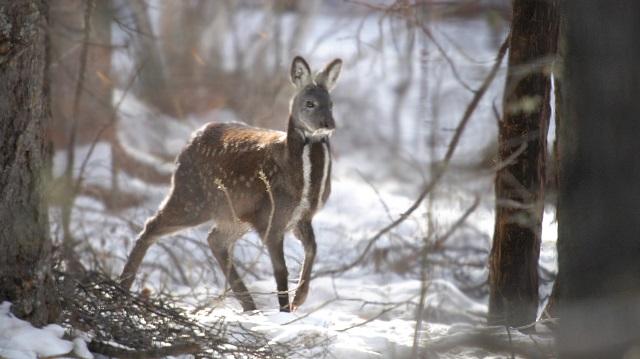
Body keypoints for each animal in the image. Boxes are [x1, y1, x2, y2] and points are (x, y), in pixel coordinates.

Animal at [118, 56, 342, 312]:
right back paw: (123, 286)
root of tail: (189, 142)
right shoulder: (271, 216)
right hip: (192, 196)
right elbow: (281, 270)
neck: (302, 184)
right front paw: (285, 310)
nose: (328, 124)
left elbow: (313, 249)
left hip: (233, 212)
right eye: (310, 103)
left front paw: (299, 298)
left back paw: (249, 306)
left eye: (331, 103)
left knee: (214, 239)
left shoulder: (301, 216)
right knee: (152, 225)